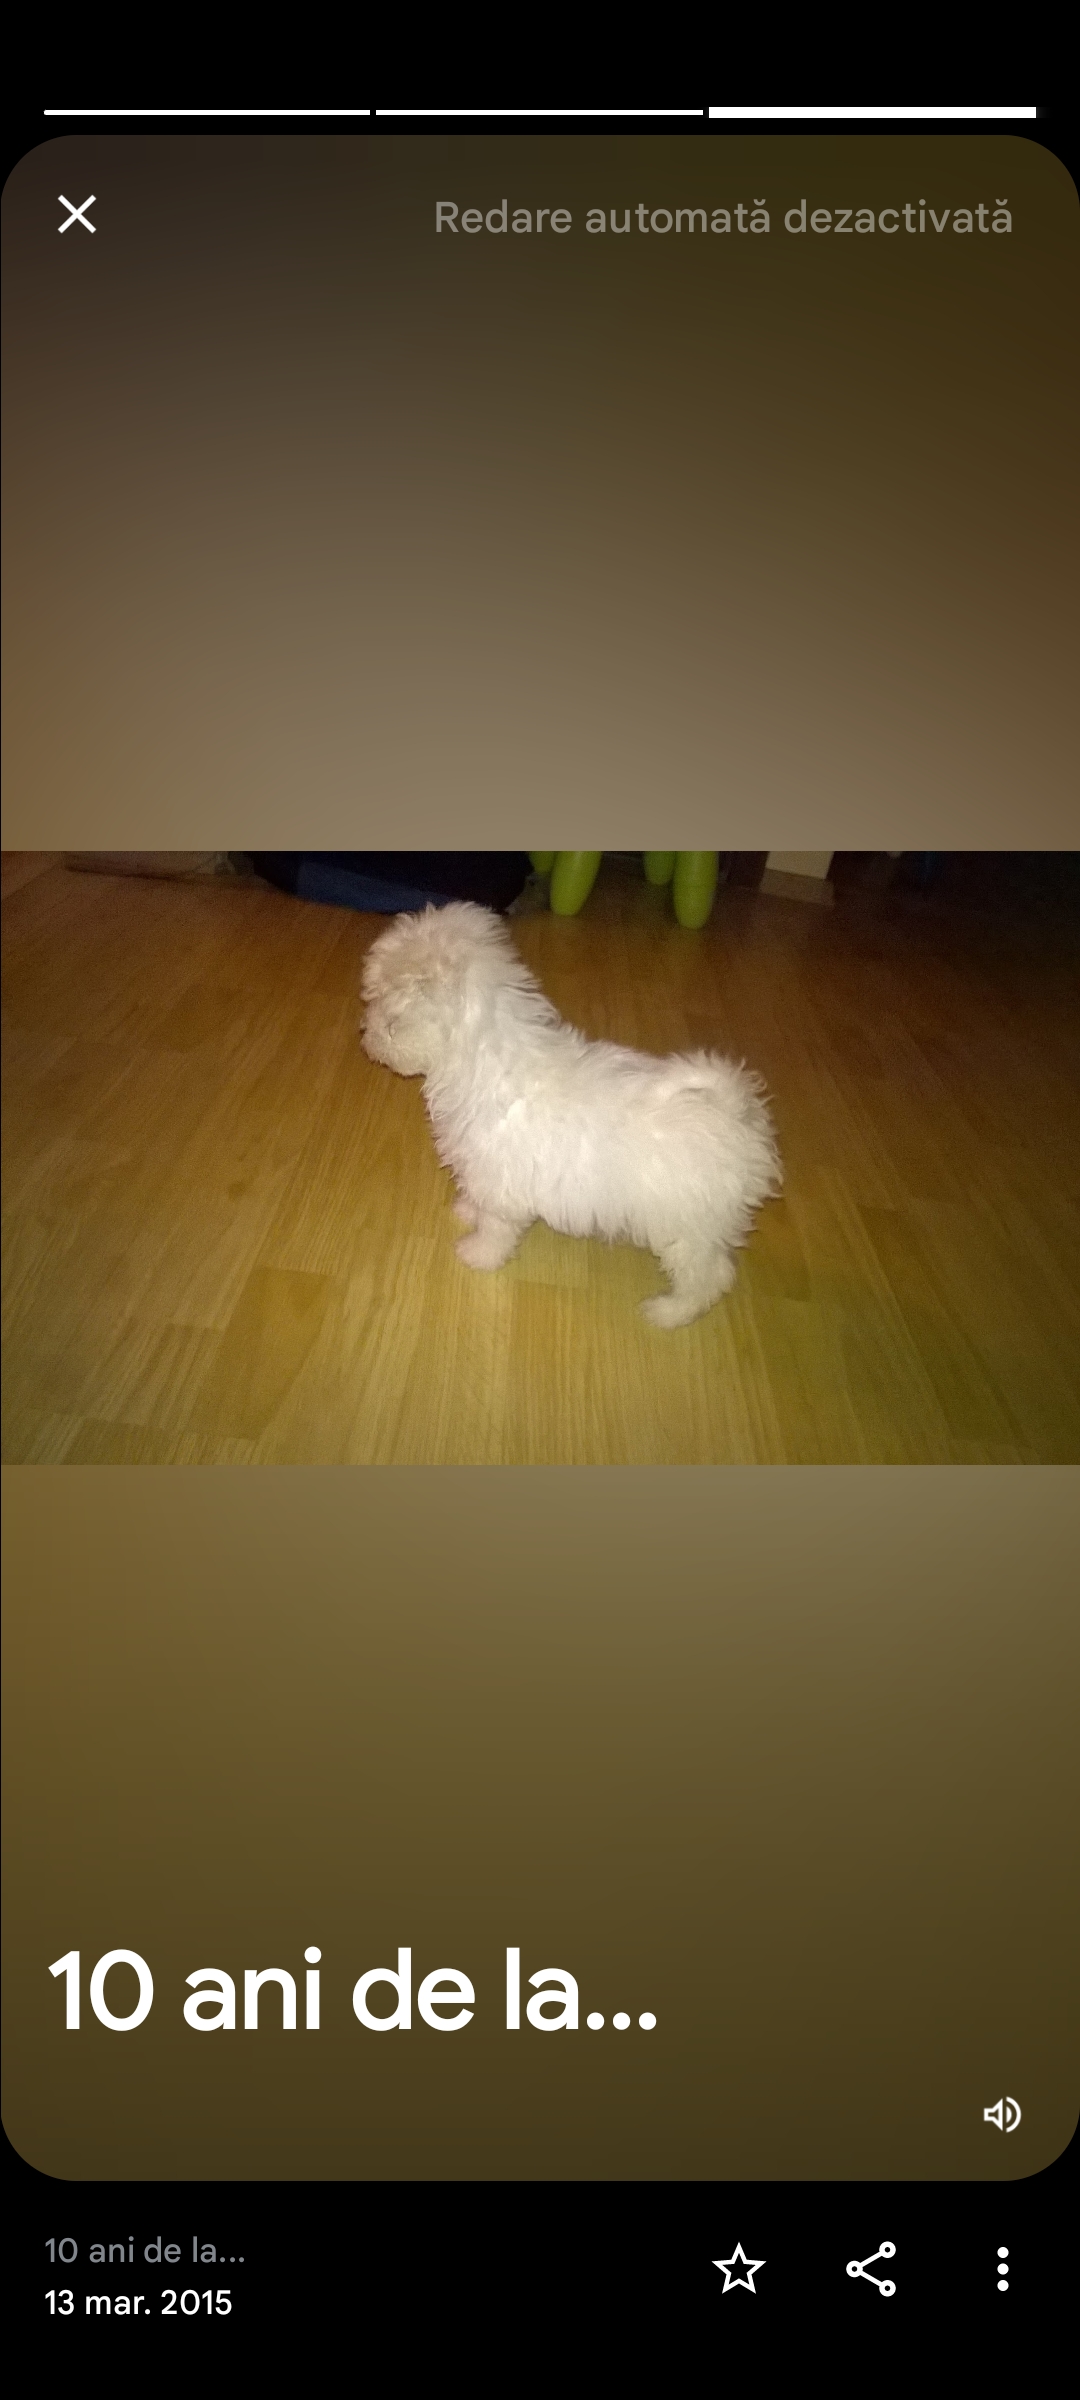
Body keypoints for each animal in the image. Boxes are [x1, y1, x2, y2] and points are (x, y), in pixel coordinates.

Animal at [360, 902, 781, 1327]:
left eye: (390, 1021)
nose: (365, 1036)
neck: (483, 1057)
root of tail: (736, 1110)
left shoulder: (500, 1180)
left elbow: (496, 1226)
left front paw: (477, 1254)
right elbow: (480, 1203)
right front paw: (467, 1210)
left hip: (688, 1223)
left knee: (708, 1275)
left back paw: (669, 1312)